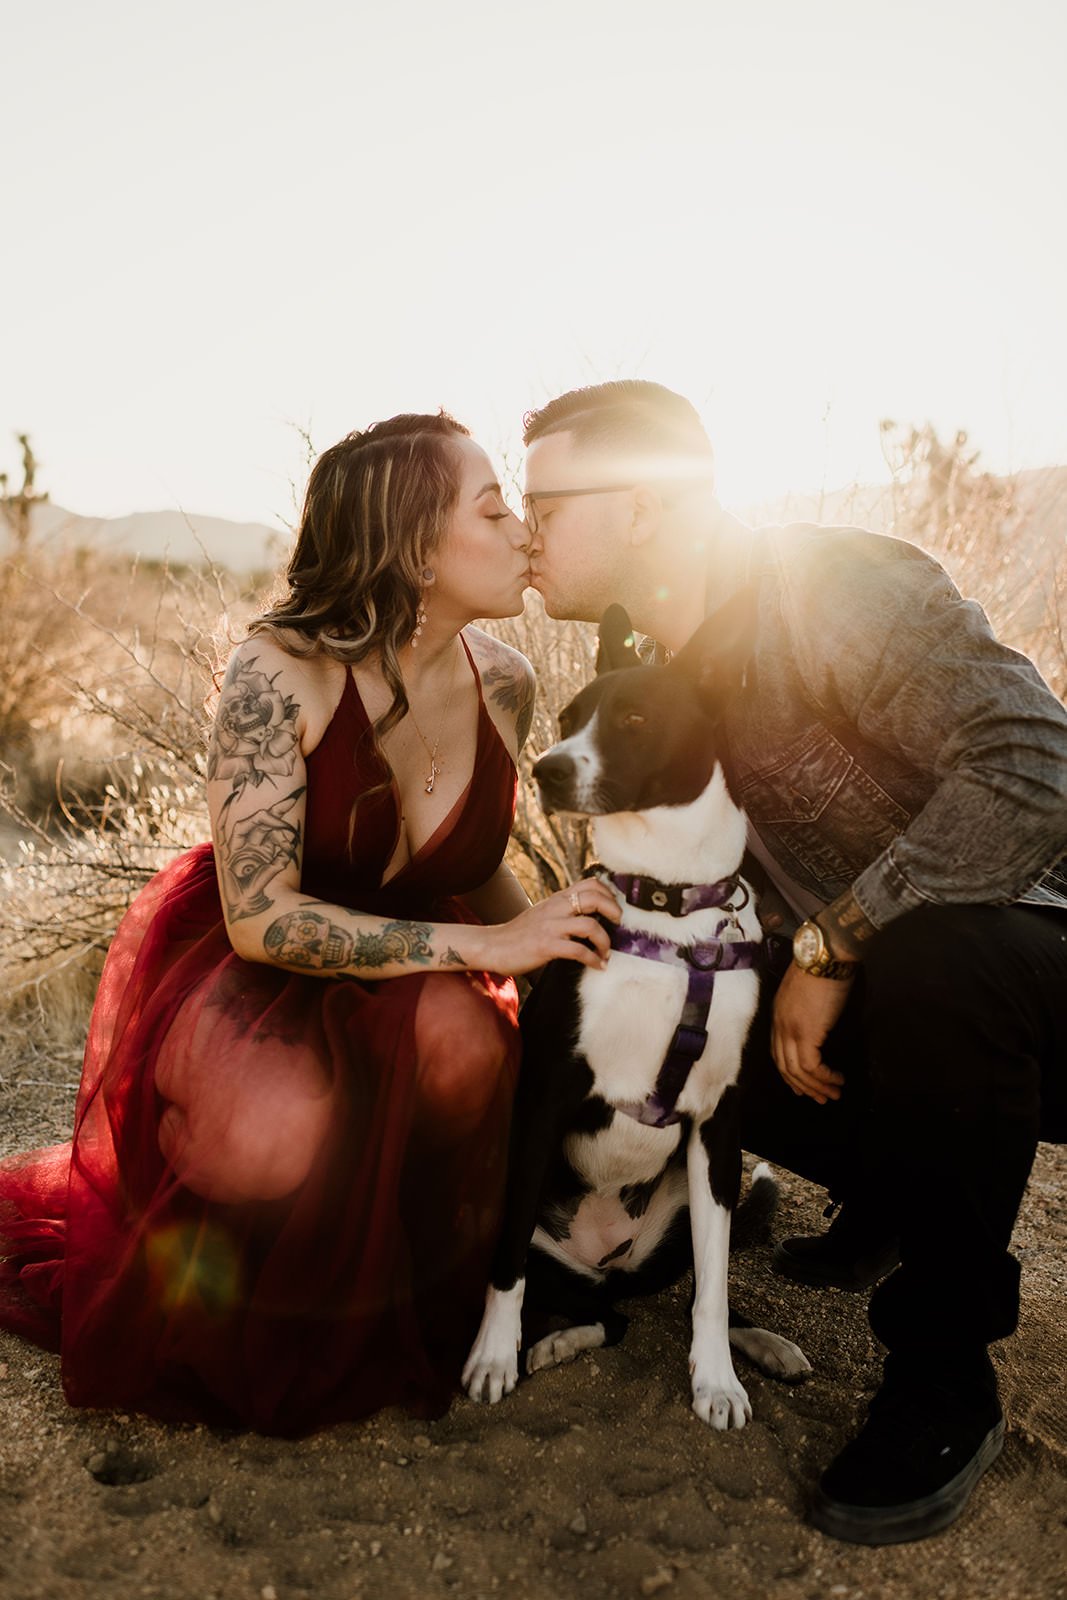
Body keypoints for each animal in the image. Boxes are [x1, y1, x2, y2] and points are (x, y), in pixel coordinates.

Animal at [463, 601, 809, 1427]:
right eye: (565, 717)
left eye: (635, 718)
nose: (548, 770)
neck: (669, 909)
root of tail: (606, 1261)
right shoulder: (544, 1099)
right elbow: (503, 1266)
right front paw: (492, 1356)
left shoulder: (719, 1124)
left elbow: (712, 1293)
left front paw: (716, 1380)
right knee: (599, 1313)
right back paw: (552, 1341)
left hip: (694, 1200)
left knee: (674, 1295)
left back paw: (764, 1345)